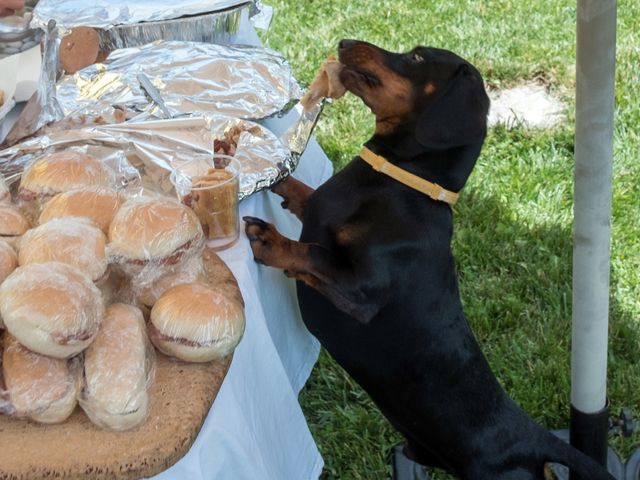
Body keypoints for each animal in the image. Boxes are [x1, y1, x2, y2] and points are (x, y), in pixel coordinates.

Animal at [242, 39, 612, 478]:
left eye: (417, 57)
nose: (345, 43)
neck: (399, 183)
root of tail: (534, 440)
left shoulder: (360, 291)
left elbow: (311, 254)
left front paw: (269, 240)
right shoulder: (317, 209)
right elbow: (303, 193)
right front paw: (264, 166)